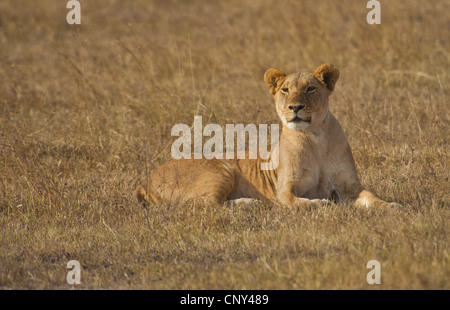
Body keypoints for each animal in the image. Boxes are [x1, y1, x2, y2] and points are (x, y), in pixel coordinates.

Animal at [135, 63, 400, 208]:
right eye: (285, 90)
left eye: (310, 89)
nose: (295, 107)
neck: (314, 138)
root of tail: (145, 180)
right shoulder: (284, 190)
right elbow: (299, 204)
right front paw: (322, 204)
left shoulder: (349, 185)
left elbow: (370, 197)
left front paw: (391, 206)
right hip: (222, 169)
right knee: (204, 204)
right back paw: (250, 204)